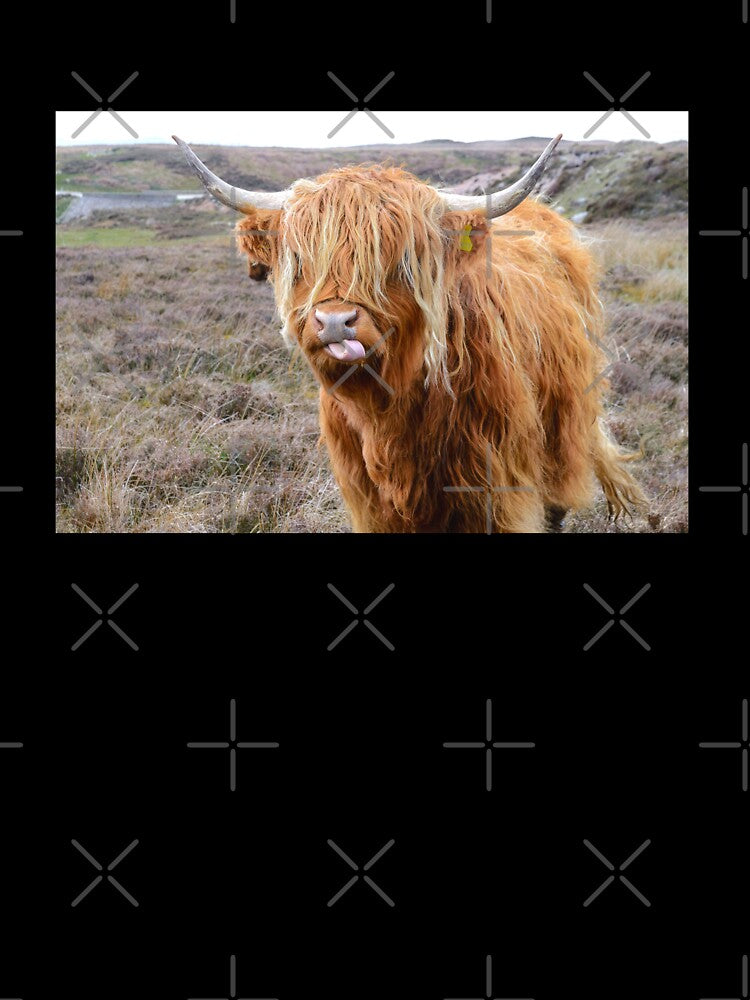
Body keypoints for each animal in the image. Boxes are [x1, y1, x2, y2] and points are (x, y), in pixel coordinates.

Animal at [173, 134, 645, 533]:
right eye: (301, 260)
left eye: (399, 261)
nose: (334, 322)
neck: (389, 409)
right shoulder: (368, 499)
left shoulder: (497, 487)